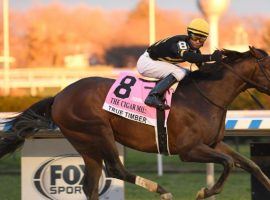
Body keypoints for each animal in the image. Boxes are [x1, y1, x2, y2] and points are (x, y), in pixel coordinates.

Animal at [0, 46, 270, 199]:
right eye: (268, 65)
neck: (205, 94)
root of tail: (58, 96)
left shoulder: (213, 144)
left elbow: (250, 165)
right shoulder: (189, 150)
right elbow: (228, 164)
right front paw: (205, 191)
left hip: (86, 145)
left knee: (91, 185)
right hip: (97, 132)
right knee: (115, 170)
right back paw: (162, 191)